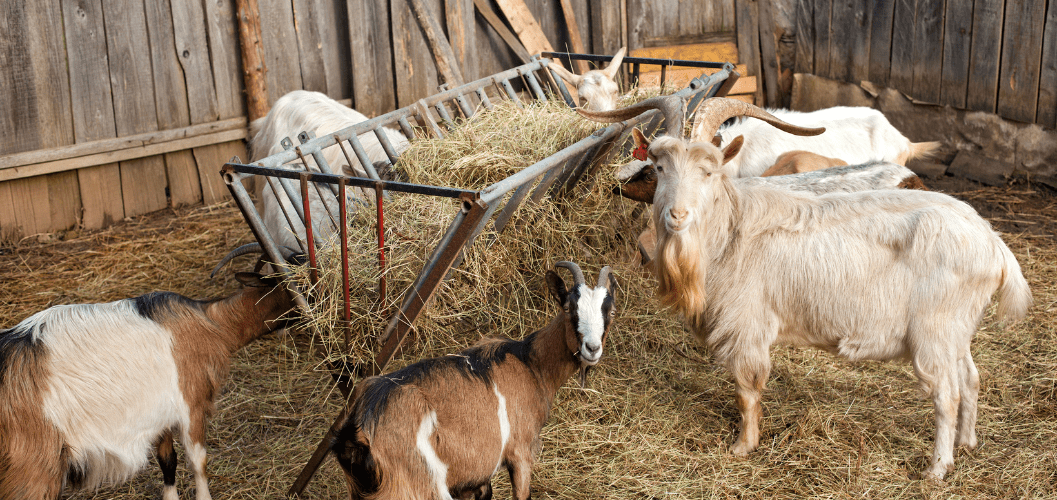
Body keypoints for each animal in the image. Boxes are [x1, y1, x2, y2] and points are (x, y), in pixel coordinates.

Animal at [0, 246, 298, 498]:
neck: (212, 324)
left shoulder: (160, 413)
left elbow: (168, 461)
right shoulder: (191, 403)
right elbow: (198, 461)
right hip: (34, 469)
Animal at [331, 263, 617, 496]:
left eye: (610, 312)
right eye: (569, 308)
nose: (592, 348)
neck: (530, 363)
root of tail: (359, 432)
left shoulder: (475, 478)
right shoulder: (521, 453)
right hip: (419, 487)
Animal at [579, 96, 1031, 479]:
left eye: (709, 171)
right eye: (659, 168)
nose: (677, 215)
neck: (728, 232)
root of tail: (993, 244)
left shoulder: (747, 326)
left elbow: (747, 389)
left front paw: (742, 447)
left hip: (933, 332)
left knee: (946, 395)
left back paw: (937, 469)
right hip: (957, 330)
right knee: (971, 378)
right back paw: (968, 443)